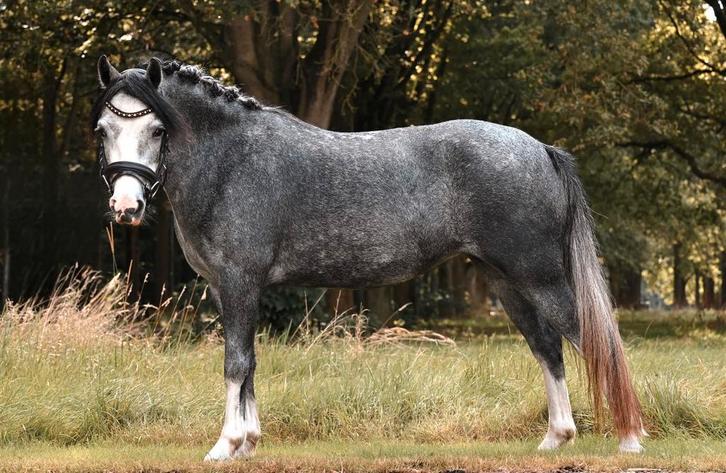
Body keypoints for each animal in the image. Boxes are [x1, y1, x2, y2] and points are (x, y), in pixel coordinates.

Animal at [91, 55, 644, 460]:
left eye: (158, 130)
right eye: (102, 130)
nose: (126, 207)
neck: (232, 161)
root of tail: (541, 149)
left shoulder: (239, 282)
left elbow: (236, 363)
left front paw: (226, 445)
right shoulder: (228, 290)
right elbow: (249, 365)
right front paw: (248, 443)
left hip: (540, 277)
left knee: (594, 340)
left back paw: (631, 438)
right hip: (507, 282)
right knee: (547, 348)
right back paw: (556, 437)